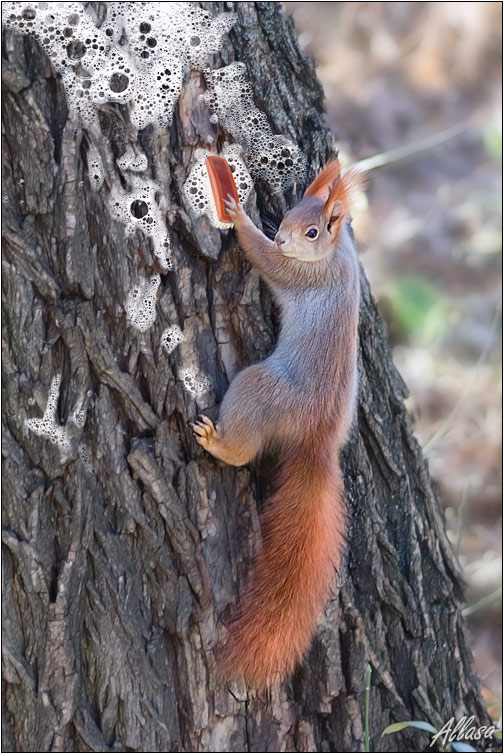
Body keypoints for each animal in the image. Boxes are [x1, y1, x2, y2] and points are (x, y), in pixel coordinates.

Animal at [191, 159, 360, 688]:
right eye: (289, 212)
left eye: (312, 231)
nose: (283, 237)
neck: (336, 254)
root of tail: (316, 441)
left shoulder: (300, 274)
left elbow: (266, 261)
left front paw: (236, 214)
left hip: (258, 390)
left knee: (244, 448)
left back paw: (218, 443)